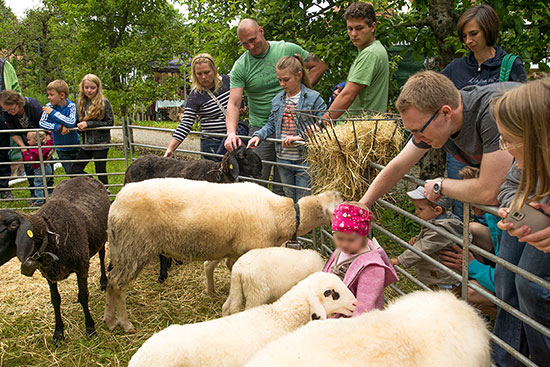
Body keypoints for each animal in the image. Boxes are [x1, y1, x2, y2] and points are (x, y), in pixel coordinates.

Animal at [0, 178, 111, 344]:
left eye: (13, 225)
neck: (51, 232)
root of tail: (81, 177)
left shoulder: (81, 266)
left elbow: (83, 296)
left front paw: (90, 327)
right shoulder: (49, 274)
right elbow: (55, 300)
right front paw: (58, 332)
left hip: (101, 237)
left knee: (102, 255)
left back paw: (103, 281)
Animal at [105, 178, 342, 334]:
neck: (282, 215)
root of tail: (115, 205)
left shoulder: (232, 250)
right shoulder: (250, 247)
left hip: (119, 249)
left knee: (110, 281)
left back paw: (109, 320)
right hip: (134, 247)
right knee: (118, 285)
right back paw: (125, 324)